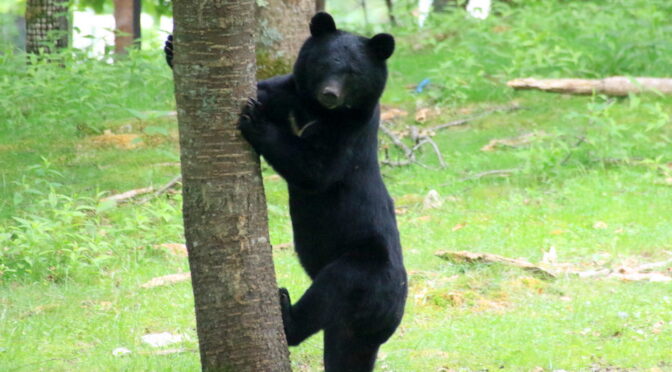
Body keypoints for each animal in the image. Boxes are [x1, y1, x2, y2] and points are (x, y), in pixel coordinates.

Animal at [164, 11, 404, 372]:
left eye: (353, 73)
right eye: (324, 64)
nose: (330, 94)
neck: (317, 111)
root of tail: (388, 318)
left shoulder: (348, 133)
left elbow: (315, 170)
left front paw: (254, 119)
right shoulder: (289, 93)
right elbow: (265, 89)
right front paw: (171, 48)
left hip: (367, 269)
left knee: (333, 287)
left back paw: (287, 316)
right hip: (349, 328)